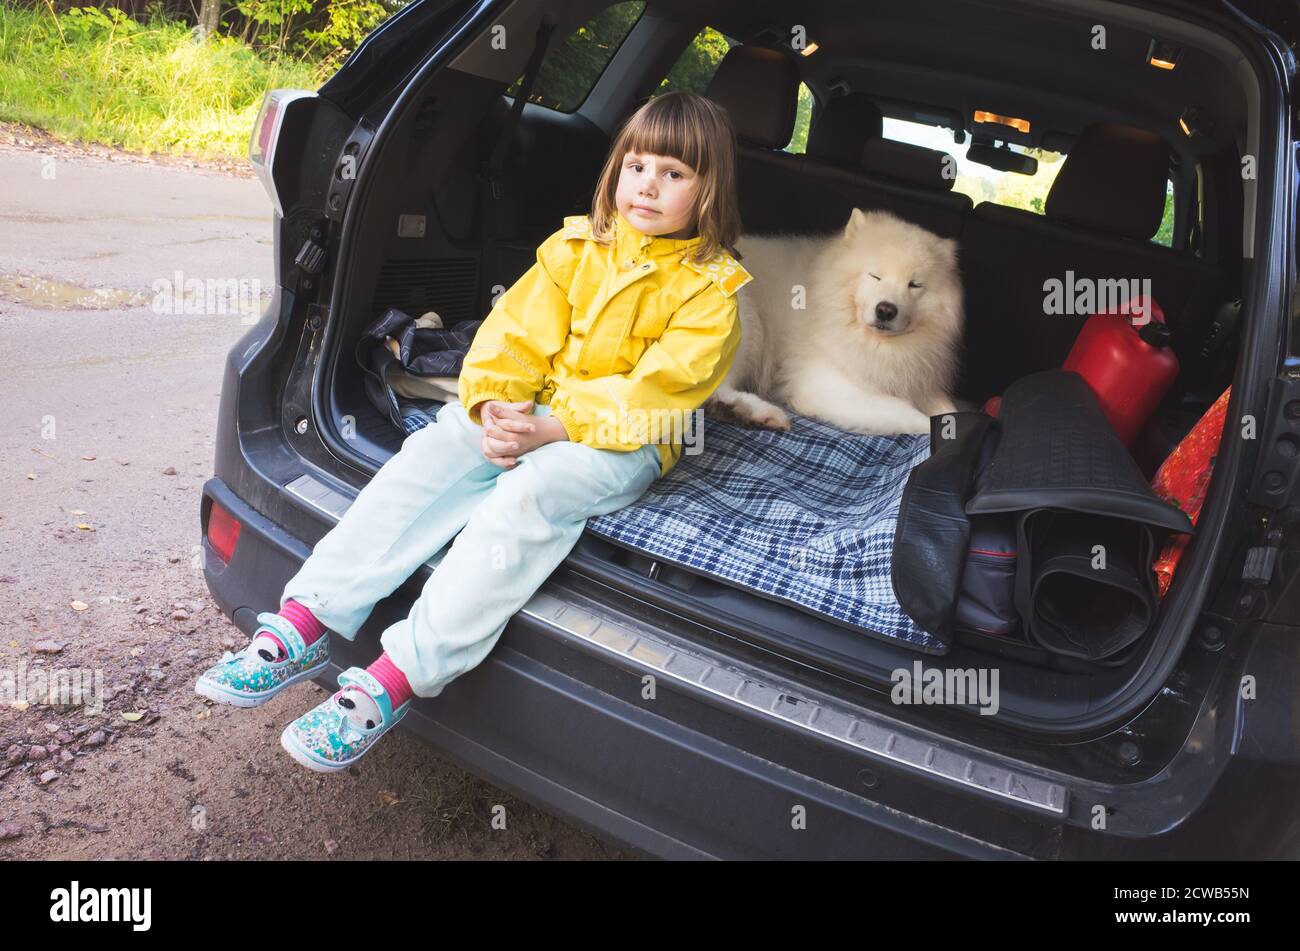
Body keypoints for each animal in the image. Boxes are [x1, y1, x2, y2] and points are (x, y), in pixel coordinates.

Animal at [712, 207, 967, 433]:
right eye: (875, 276)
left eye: (914, 284)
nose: (886, 310)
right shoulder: (824, 382)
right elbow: (906, 412)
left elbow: (946, 407)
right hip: (747, 325)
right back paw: (759, 412)